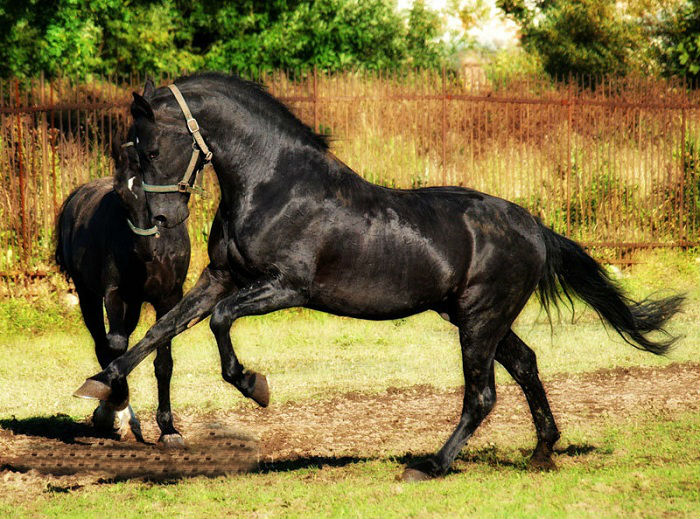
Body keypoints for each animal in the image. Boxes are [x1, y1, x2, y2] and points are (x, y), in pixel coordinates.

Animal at [57, 135, 190, 446]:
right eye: (119, 194)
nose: (144, 250)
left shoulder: (169, 300)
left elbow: (163, 362)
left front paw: (169, 429)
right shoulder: (113, 294)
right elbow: (115, 346)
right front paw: (116, 405)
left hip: (134, 304)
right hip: (88, 296)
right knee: (103, 344)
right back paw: (114, 414)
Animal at [76, 75, 684, 482]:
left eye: (153, 146)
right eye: (130, 149)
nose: (156, 221)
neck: (274, 185)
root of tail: (534, 228)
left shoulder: (285, 286)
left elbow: (220, 326)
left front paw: (256, 386)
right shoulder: (222, 276)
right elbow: (162, 331)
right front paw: (99, 384)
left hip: (479, 320)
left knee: (483, 394)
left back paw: (432, 465)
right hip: (475, 317)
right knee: (527, 365)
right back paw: (540, 455)